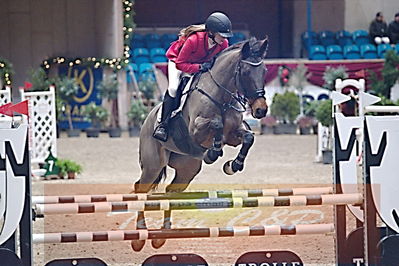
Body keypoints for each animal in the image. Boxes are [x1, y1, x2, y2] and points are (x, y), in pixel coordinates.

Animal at [134, 35, 268, 251]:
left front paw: (232, 165)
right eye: (246, 72)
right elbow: (216, 123)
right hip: (152, 166)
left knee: (170, 193)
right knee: (140, 190)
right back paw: (139, 236)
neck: (221, 96)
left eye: (264, 71)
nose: (261, 110)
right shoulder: (196, 130)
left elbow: (248, 138)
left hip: (187, 170)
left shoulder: (234, 135)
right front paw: (213, 153)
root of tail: (147, 120)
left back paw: (161, 235)